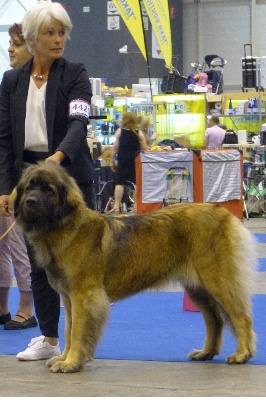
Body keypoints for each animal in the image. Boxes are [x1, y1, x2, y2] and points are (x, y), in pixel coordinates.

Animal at [11, 161, 256, 374]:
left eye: (48, 190)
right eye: (29, 187)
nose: (30, 202)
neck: (64, 227)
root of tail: (221, 211)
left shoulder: (83, 295)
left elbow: (78, 330)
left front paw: (71, 362)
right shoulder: (69, 298)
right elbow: (69, 329)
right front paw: (63, 359)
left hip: (218, 280)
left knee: (240, 317)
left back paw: (242, 354)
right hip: (198, 288)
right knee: (215, 320)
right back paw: (206, 352)